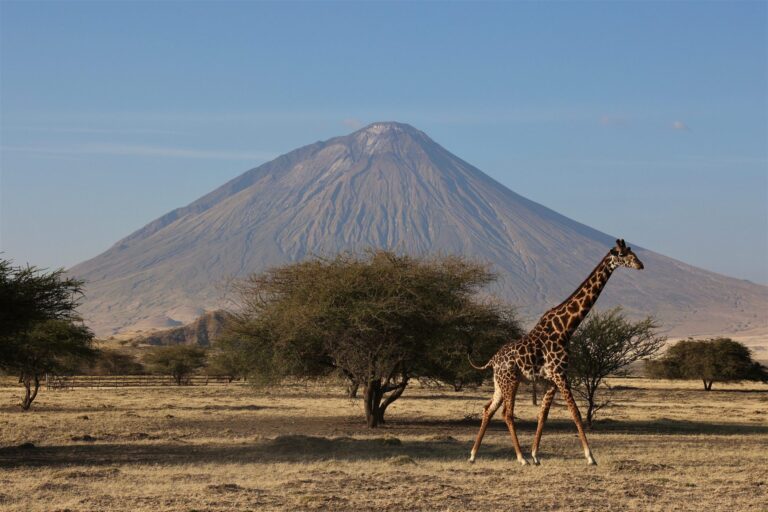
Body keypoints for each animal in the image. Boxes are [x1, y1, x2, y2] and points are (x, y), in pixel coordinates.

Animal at [468, 239, 644, 466]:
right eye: (623, 254)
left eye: (632, 252)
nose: (640, 265)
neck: (566, 328)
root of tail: (492, 360)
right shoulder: (560, 374)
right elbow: (575, 412)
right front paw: (590, 456)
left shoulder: (551, 379)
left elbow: (543, 415)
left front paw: (536, 455)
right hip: (511, 381)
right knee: (507, 413)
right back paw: (520, 458)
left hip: (499, 383)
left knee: (488, 409)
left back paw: (473, 455)